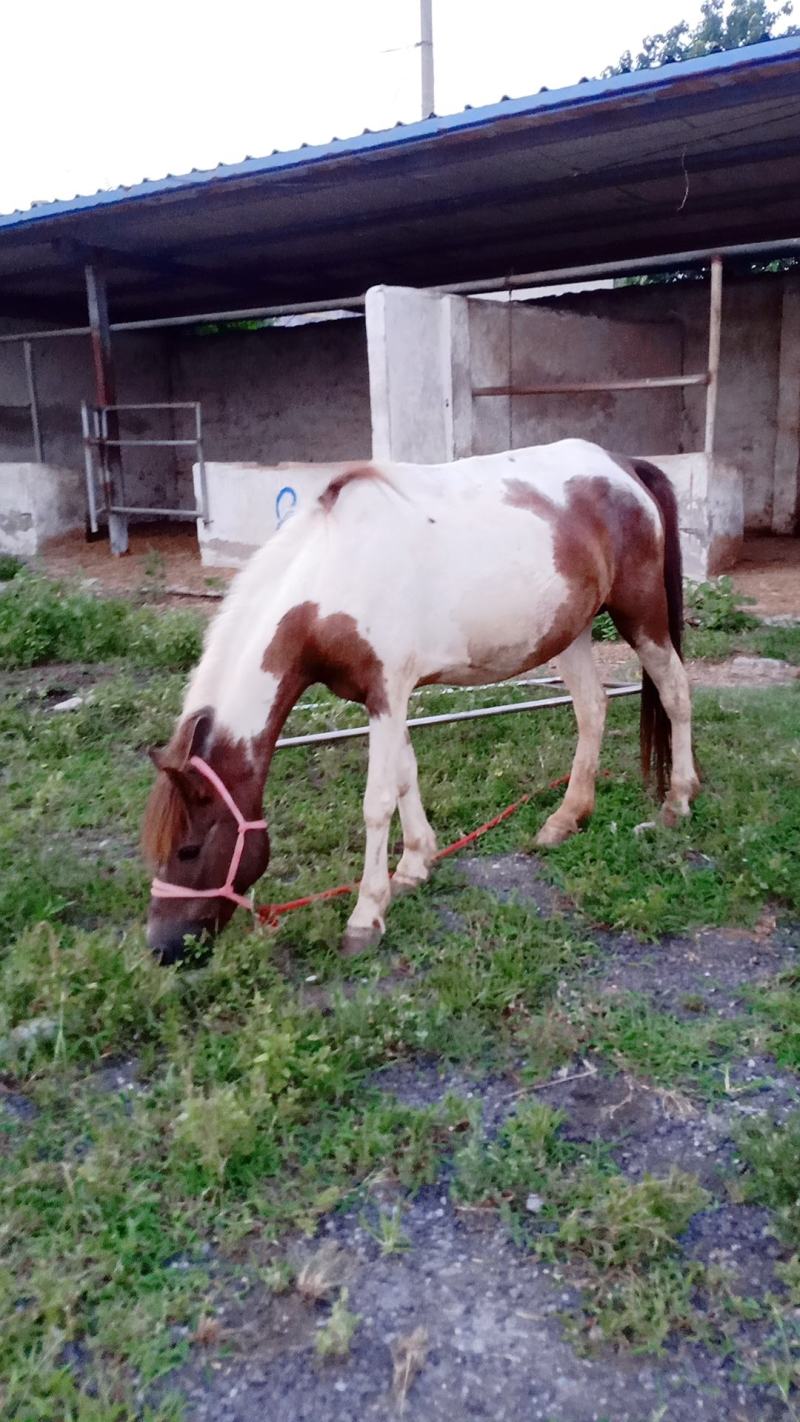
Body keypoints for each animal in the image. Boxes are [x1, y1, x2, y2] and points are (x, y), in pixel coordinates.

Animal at [142, 439, 698, 964]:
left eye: (189, 850)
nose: (163, 949)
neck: (333, 576)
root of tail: (621, 466)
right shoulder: (383, 698)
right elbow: (406, 775)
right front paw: (414, 865)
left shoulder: (387, 691)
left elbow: (377, 801)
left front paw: (365, 916)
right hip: (573, 632)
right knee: (591, 709)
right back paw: (566, 819)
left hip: (640, 614)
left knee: (675, 693)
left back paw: (677, 804)